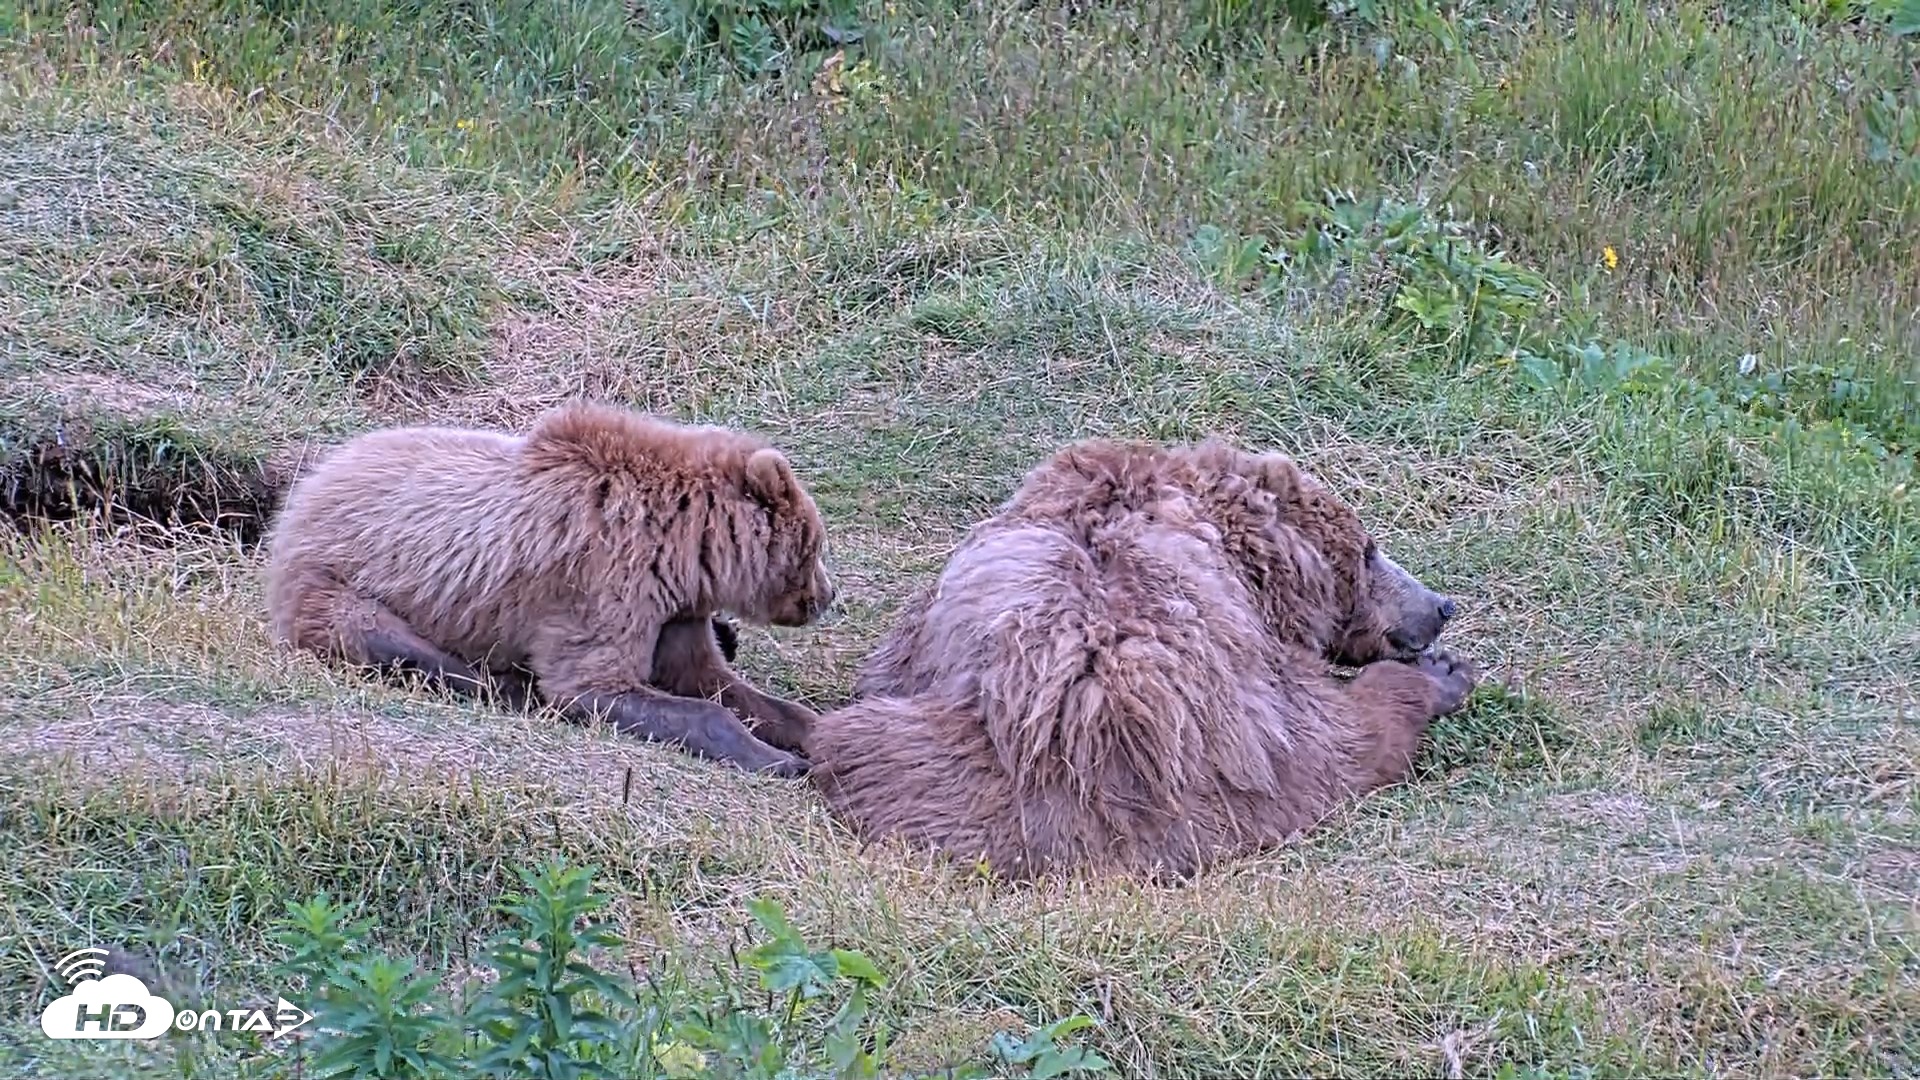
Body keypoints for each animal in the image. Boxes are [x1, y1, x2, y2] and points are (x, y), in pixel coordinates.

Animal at [261, 400, 835, 778]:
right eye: (816, 546)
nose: (828, 598)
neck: (686, 546)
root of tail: (305, 489)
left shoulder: (672, 607)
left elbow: (712, 680)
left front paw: (807, 732)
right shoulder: (607, 582)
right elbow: (596, 685)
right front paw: (781, 761)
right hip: (338, 580)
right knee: (393, 642)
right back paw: (507, 684)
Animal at [803, 435, 1476, 880]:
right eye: (1369, 550)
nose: (1441, 605)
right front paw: (1440, 670)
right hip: (1238, 738)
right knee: (1341, 743)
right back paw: (1432, 684)